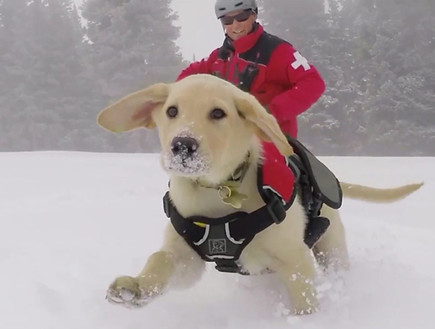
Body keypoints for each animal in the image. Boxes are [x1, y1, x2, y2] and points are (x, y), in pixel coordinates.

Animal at [98, 73, 422, 314]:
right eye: (172, 111)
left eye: (218, 113)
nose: (182, 146)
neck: (218, 191)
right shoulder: (185, 254)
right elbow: (160, 260)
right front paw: (136, 287)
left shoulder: (295, 258)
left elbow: (304, 298)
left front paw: (307, 320)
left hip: (331, 247)